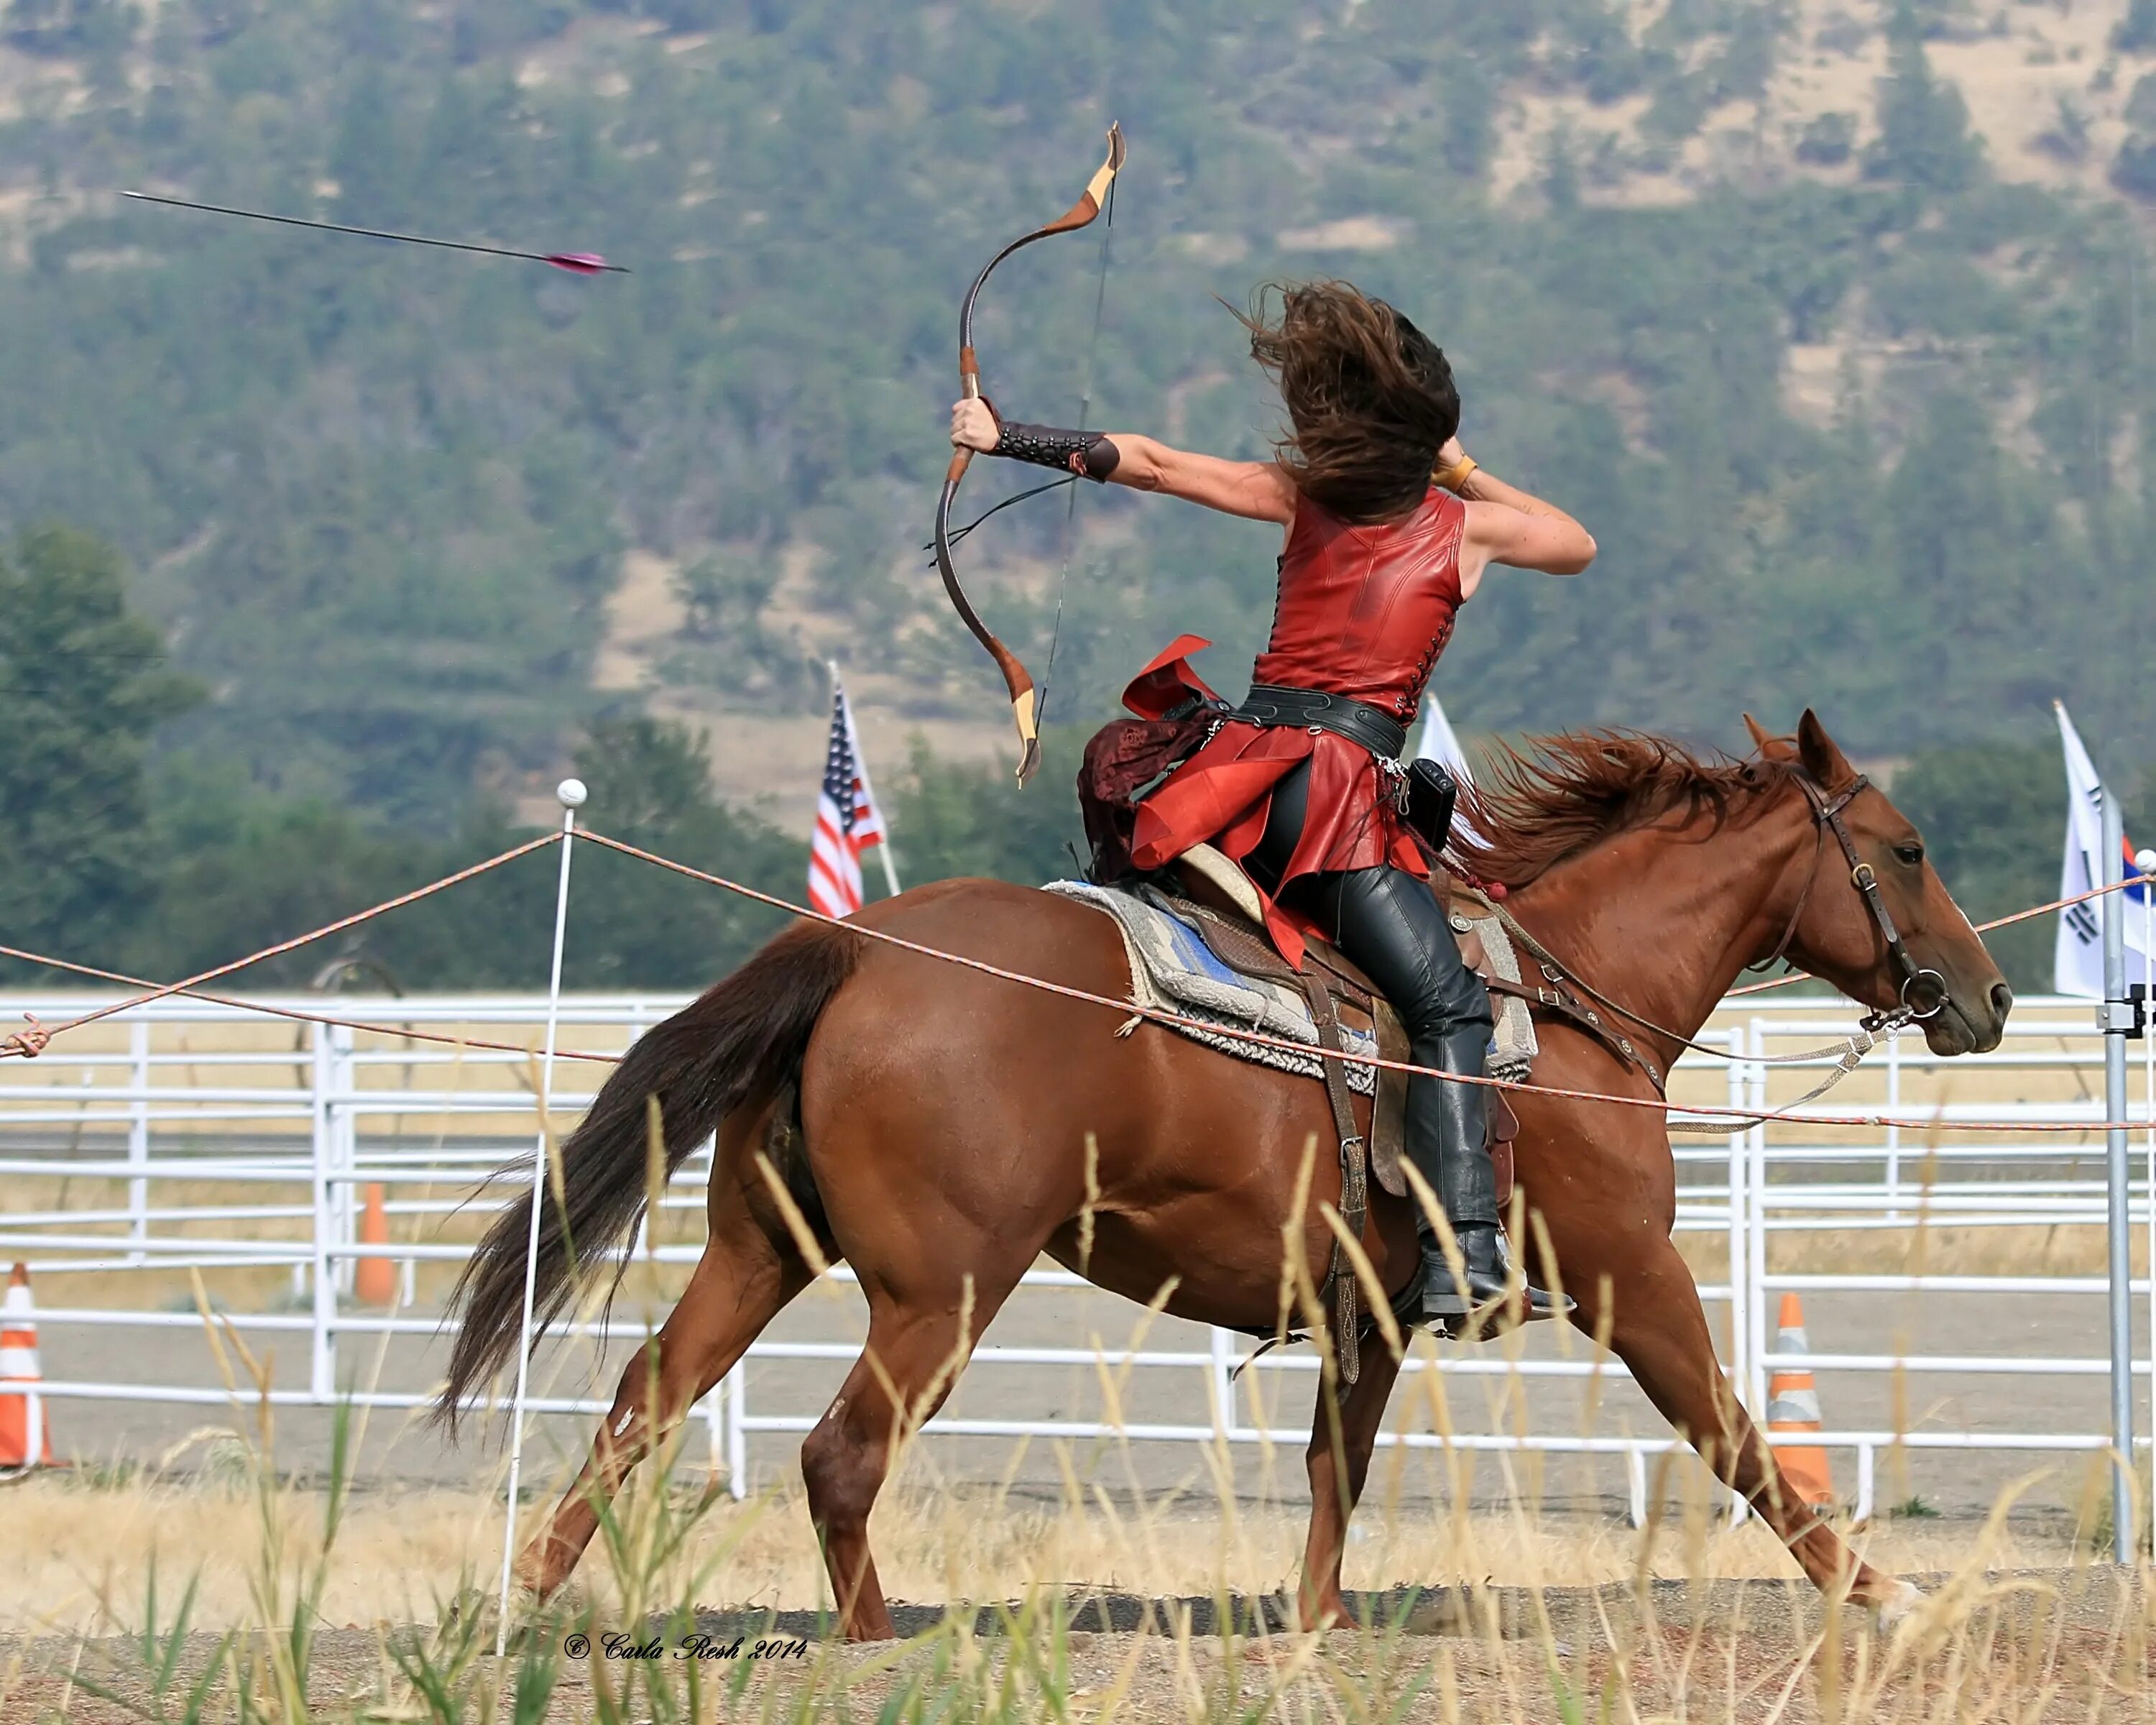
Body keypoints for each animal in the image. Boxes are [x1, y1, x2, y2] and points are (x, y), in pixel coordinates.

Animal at [438, 707, 2001, 1639]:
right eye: (1910, 845)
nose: (1982, 999)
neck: (1561, 1009)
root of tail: (860, 948)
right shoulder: (1639, 1279)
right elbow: (1739, 1439)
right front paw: (1889, 1591)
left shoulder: (1376, 1314)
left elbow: (1334, 1468)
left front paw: (1315, 1630)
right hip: (940, 1290)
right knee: (839, 1452)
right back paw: (872, 1644)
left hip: (760, 1250)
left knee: (645, 1400)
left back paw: (521, 1599)